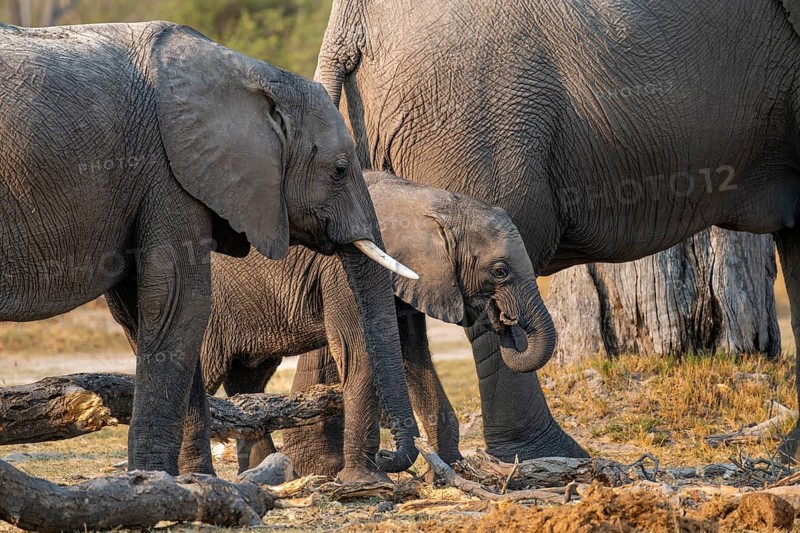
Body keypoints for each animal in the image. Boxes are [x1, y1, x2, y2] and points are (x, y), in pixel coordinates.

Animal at [0, 21, 421, 476]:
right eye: (340, 170)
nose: (388, 457)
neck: (248, 74)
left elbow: (147, 313)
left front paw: (192, 480)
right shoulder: (168, 173)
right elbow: (179, 303)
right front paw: (153, 479)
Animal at [158, 170, 550, 480]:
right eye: (500, 271)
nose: (504, 320)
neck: (429, 200)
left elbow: (412, 357)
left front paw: (451, 471)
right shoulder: (341, 270)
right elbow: (358, 348)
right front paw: (366, 482)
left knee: (248, 379)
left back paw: (263, 473)